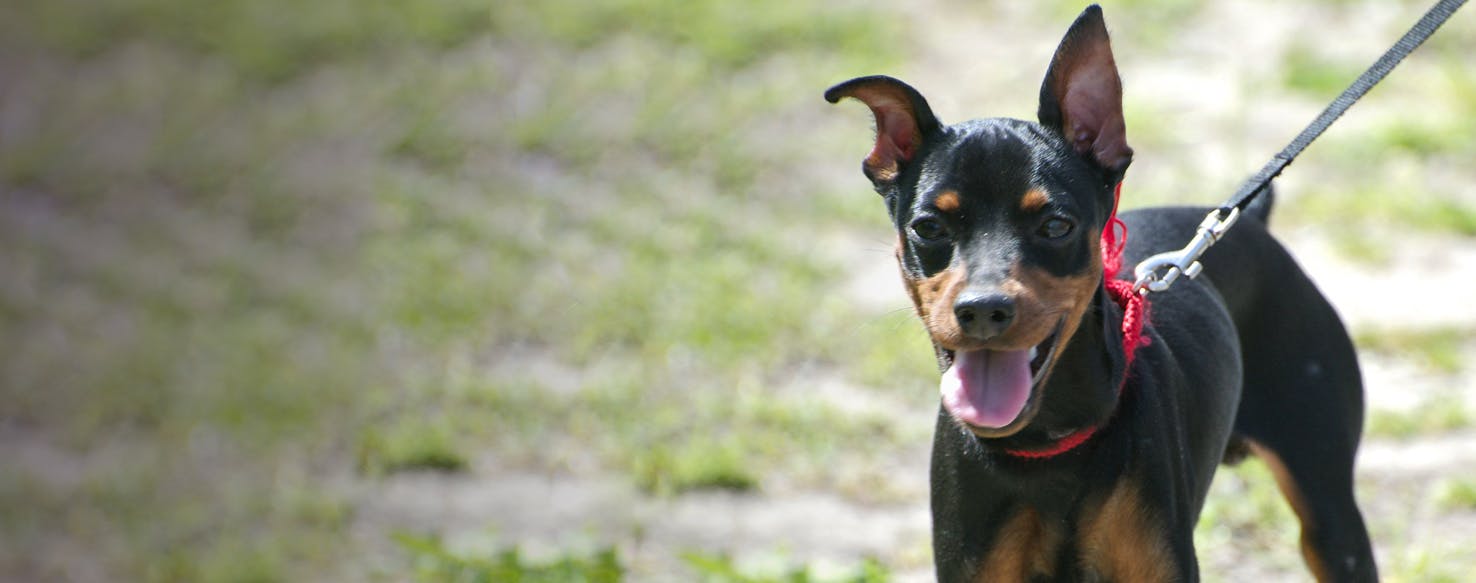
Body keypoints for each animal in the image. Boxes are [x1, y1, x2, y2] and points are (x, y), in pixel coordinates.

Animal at [826, 5, 1375, 583]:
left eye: (1056, 225)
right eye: (929, 227)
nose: (982, 310)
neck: (1044, 445)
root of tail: (1251, 221)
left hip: (1330, 515)